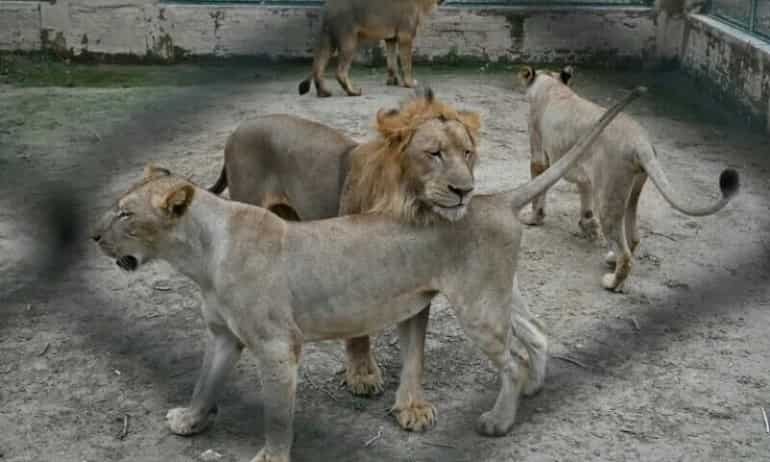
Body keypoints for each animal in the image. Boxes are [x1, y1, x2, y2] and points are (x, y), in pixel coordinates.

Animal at [90, 88, 640, 462]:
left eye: (125, 215)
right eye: (435, 152)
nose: (94, 236)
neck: (201, 256)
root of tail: (492, 198)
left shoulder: (277, 347)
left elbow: (277, 415)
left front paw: (270, 455)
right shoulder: (224, 336)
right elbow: (205, 382)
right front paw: (189, 419)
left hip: (477, 307)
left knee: (514, 360)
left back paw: (498, 421)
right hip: (497, 295)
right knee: (536, 336)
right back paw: (530, 396)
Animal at [297, 0, 444, 97]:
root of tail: (328, 7)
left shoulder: (391, 38)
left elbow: (391, 62)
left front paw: (392, 82)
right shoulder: (405, 36)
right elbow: (407, 64)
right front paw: (410, 84)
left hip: (328, 39)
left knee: (318, 67)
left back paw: (324, 92)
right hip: (349, 39)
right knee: (340, 71)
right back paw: (353, 92)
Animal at [519, 65, 740, 292]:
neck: (553, 86)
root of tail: (641, 141)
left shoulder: (539, 153)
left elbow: (538, 188)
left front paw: (533, 219)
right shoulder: (584, 171)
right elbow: (585, 198)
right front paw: (587, 225)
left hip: (608, 196)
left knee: (625, 253)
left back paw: (612, 281)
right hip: (631, 190)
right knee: (633, 237)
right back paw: (611, 259)